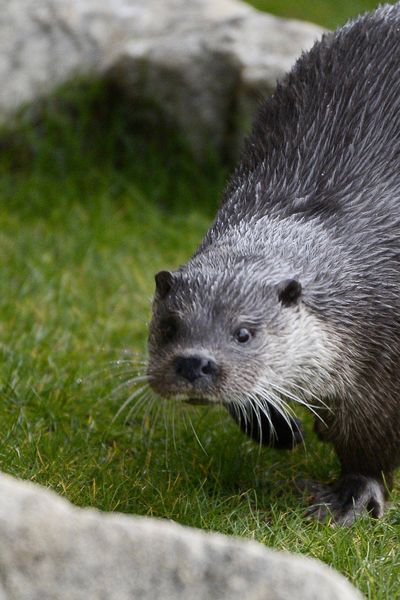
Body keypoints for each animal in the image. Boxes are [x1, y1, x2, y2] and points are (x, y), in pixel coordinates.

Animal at [146, 2, 400, 524]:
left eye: (245, 333)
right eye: (168, 326)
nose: (194, 362)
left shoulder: (382, 363)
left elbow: (371, 443)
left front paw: (351, 496)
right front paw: (276, 428)